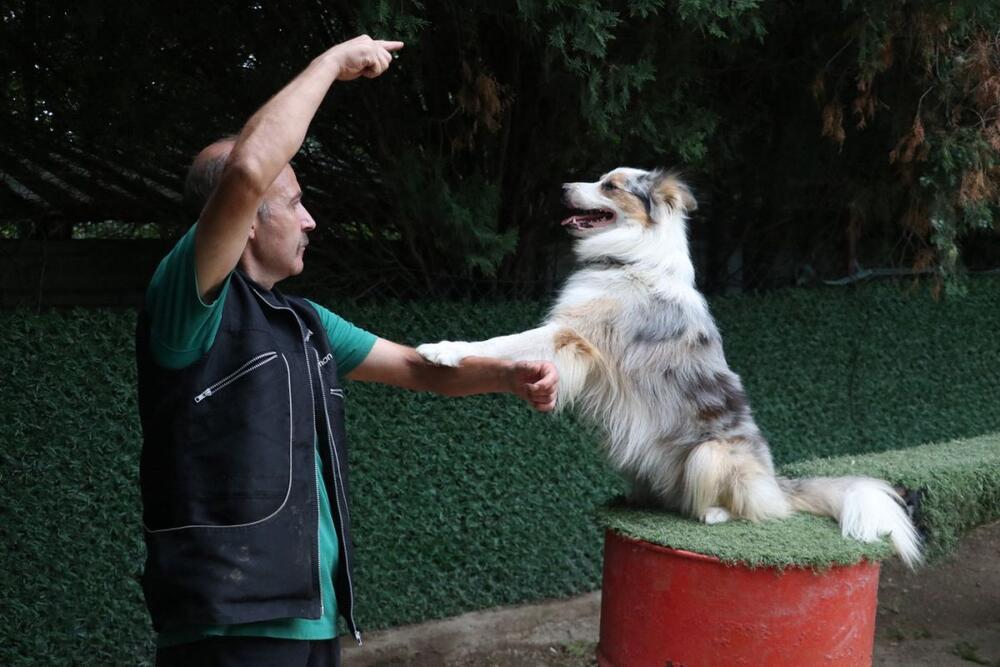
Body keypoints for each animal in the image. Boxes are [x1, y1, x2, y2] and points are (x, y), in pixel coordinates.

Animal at [416, 167, 920, 568]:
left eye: (610, 185)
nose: (560, 187)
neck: (627, 258)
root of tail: (776, 483)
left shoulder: (571, 335)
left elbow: (504, 342)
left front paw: (445, 349)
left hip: (710, 453)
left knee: (747, 509)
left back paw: (714, 513)